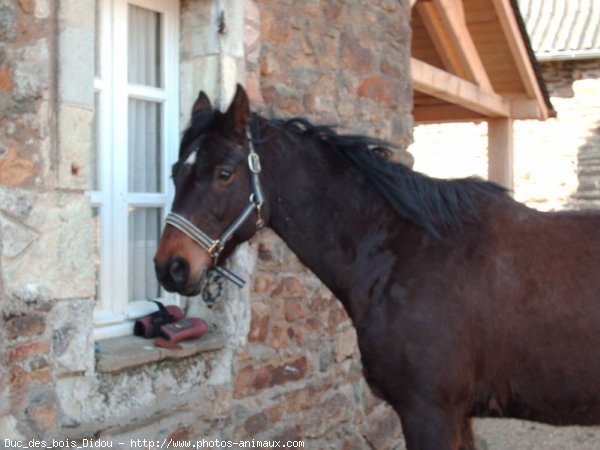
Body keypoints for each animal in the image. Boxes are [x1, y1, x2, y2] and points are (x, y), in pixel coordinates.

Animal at [152, 85, 600, 450]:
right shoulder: (458, 417)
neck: (409, 251)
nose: (170, 267)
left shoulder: (430, 413)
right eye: (175, 172)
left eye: (224, 173)